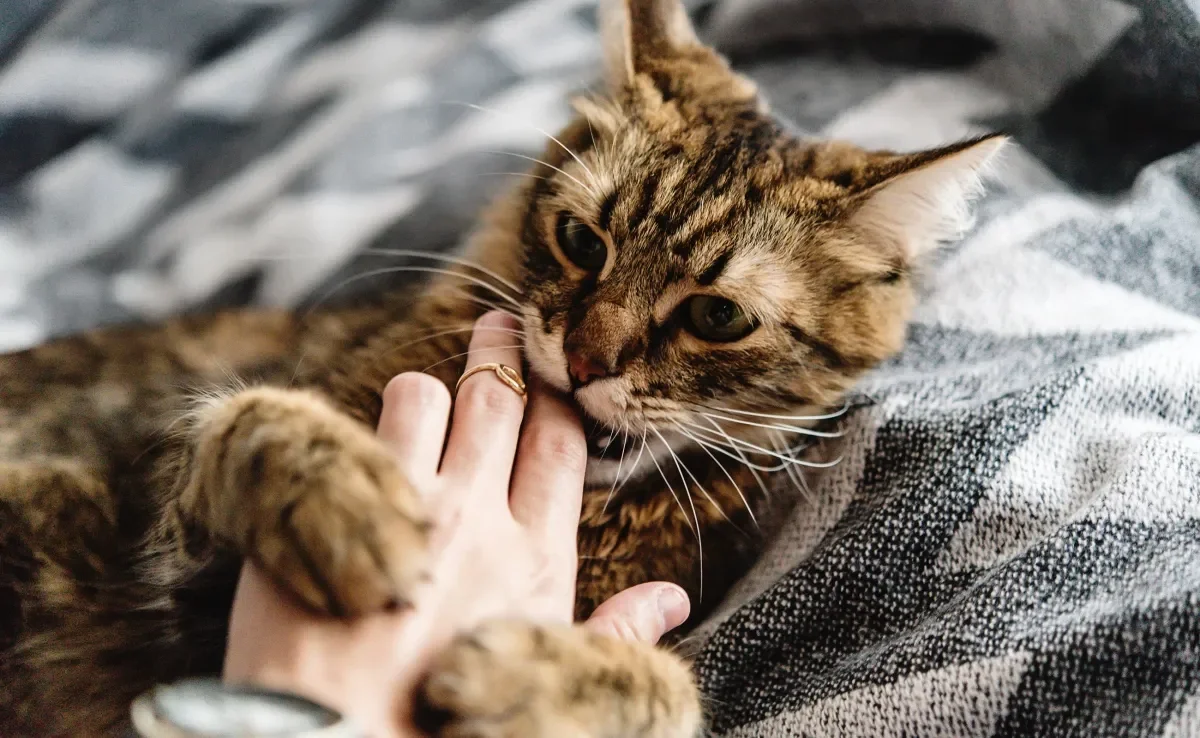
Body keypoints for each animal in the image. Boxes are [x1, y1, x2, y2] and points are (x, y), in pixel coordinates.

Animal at [0, 1, 1003, 738]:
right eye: (581, 242)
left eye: (717, 317)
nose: (588, 357)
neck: (598, 515)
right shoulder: (170, 547)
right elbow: (249, 415)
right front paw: (348, 504)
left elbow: (670, 690)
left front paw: (533, 680)